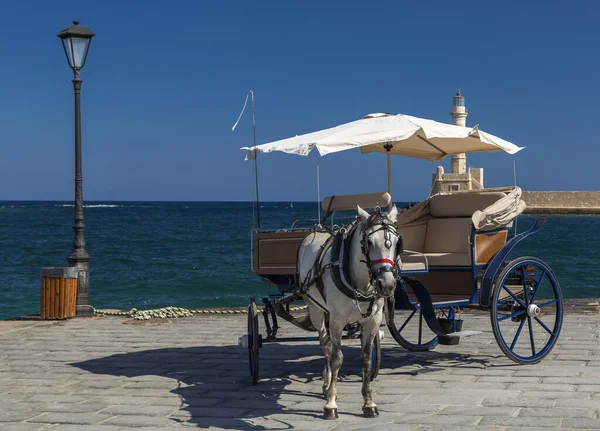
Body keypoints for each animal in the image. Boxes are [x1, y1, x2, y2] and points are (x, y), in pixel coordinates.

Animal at [298, 205, 400, 418]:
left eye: (396, 243)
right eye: (368, 242)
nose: (386, 284)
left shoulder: (372, 321)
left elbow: (366, 359)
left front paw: (369, 403)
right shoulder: (336, 320)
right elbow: (337, 358)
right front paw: (331, 404)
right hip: (316, 310)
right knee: (326, 346)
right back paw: (327, 384)